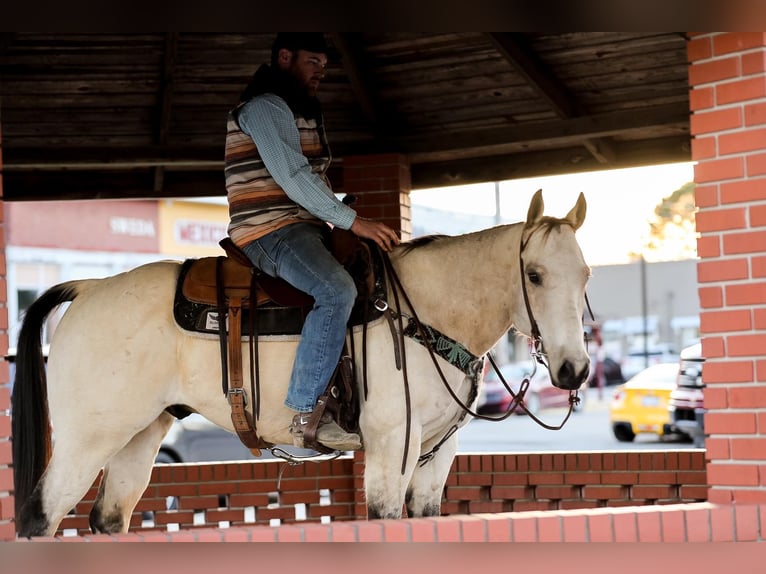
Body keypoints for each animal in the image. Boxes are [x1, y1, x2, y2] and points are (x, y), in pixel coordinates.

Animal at [10, 191, 592, 536]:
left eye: (586, 274)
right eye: (535, 274)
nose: (574, 370)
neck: (422, 311)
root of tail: (88, 289)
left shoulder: (437, 453)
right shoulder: (391, 446)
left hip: (137, 433)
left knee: (109, 518)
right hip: (88, 438)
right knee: (41, 516)